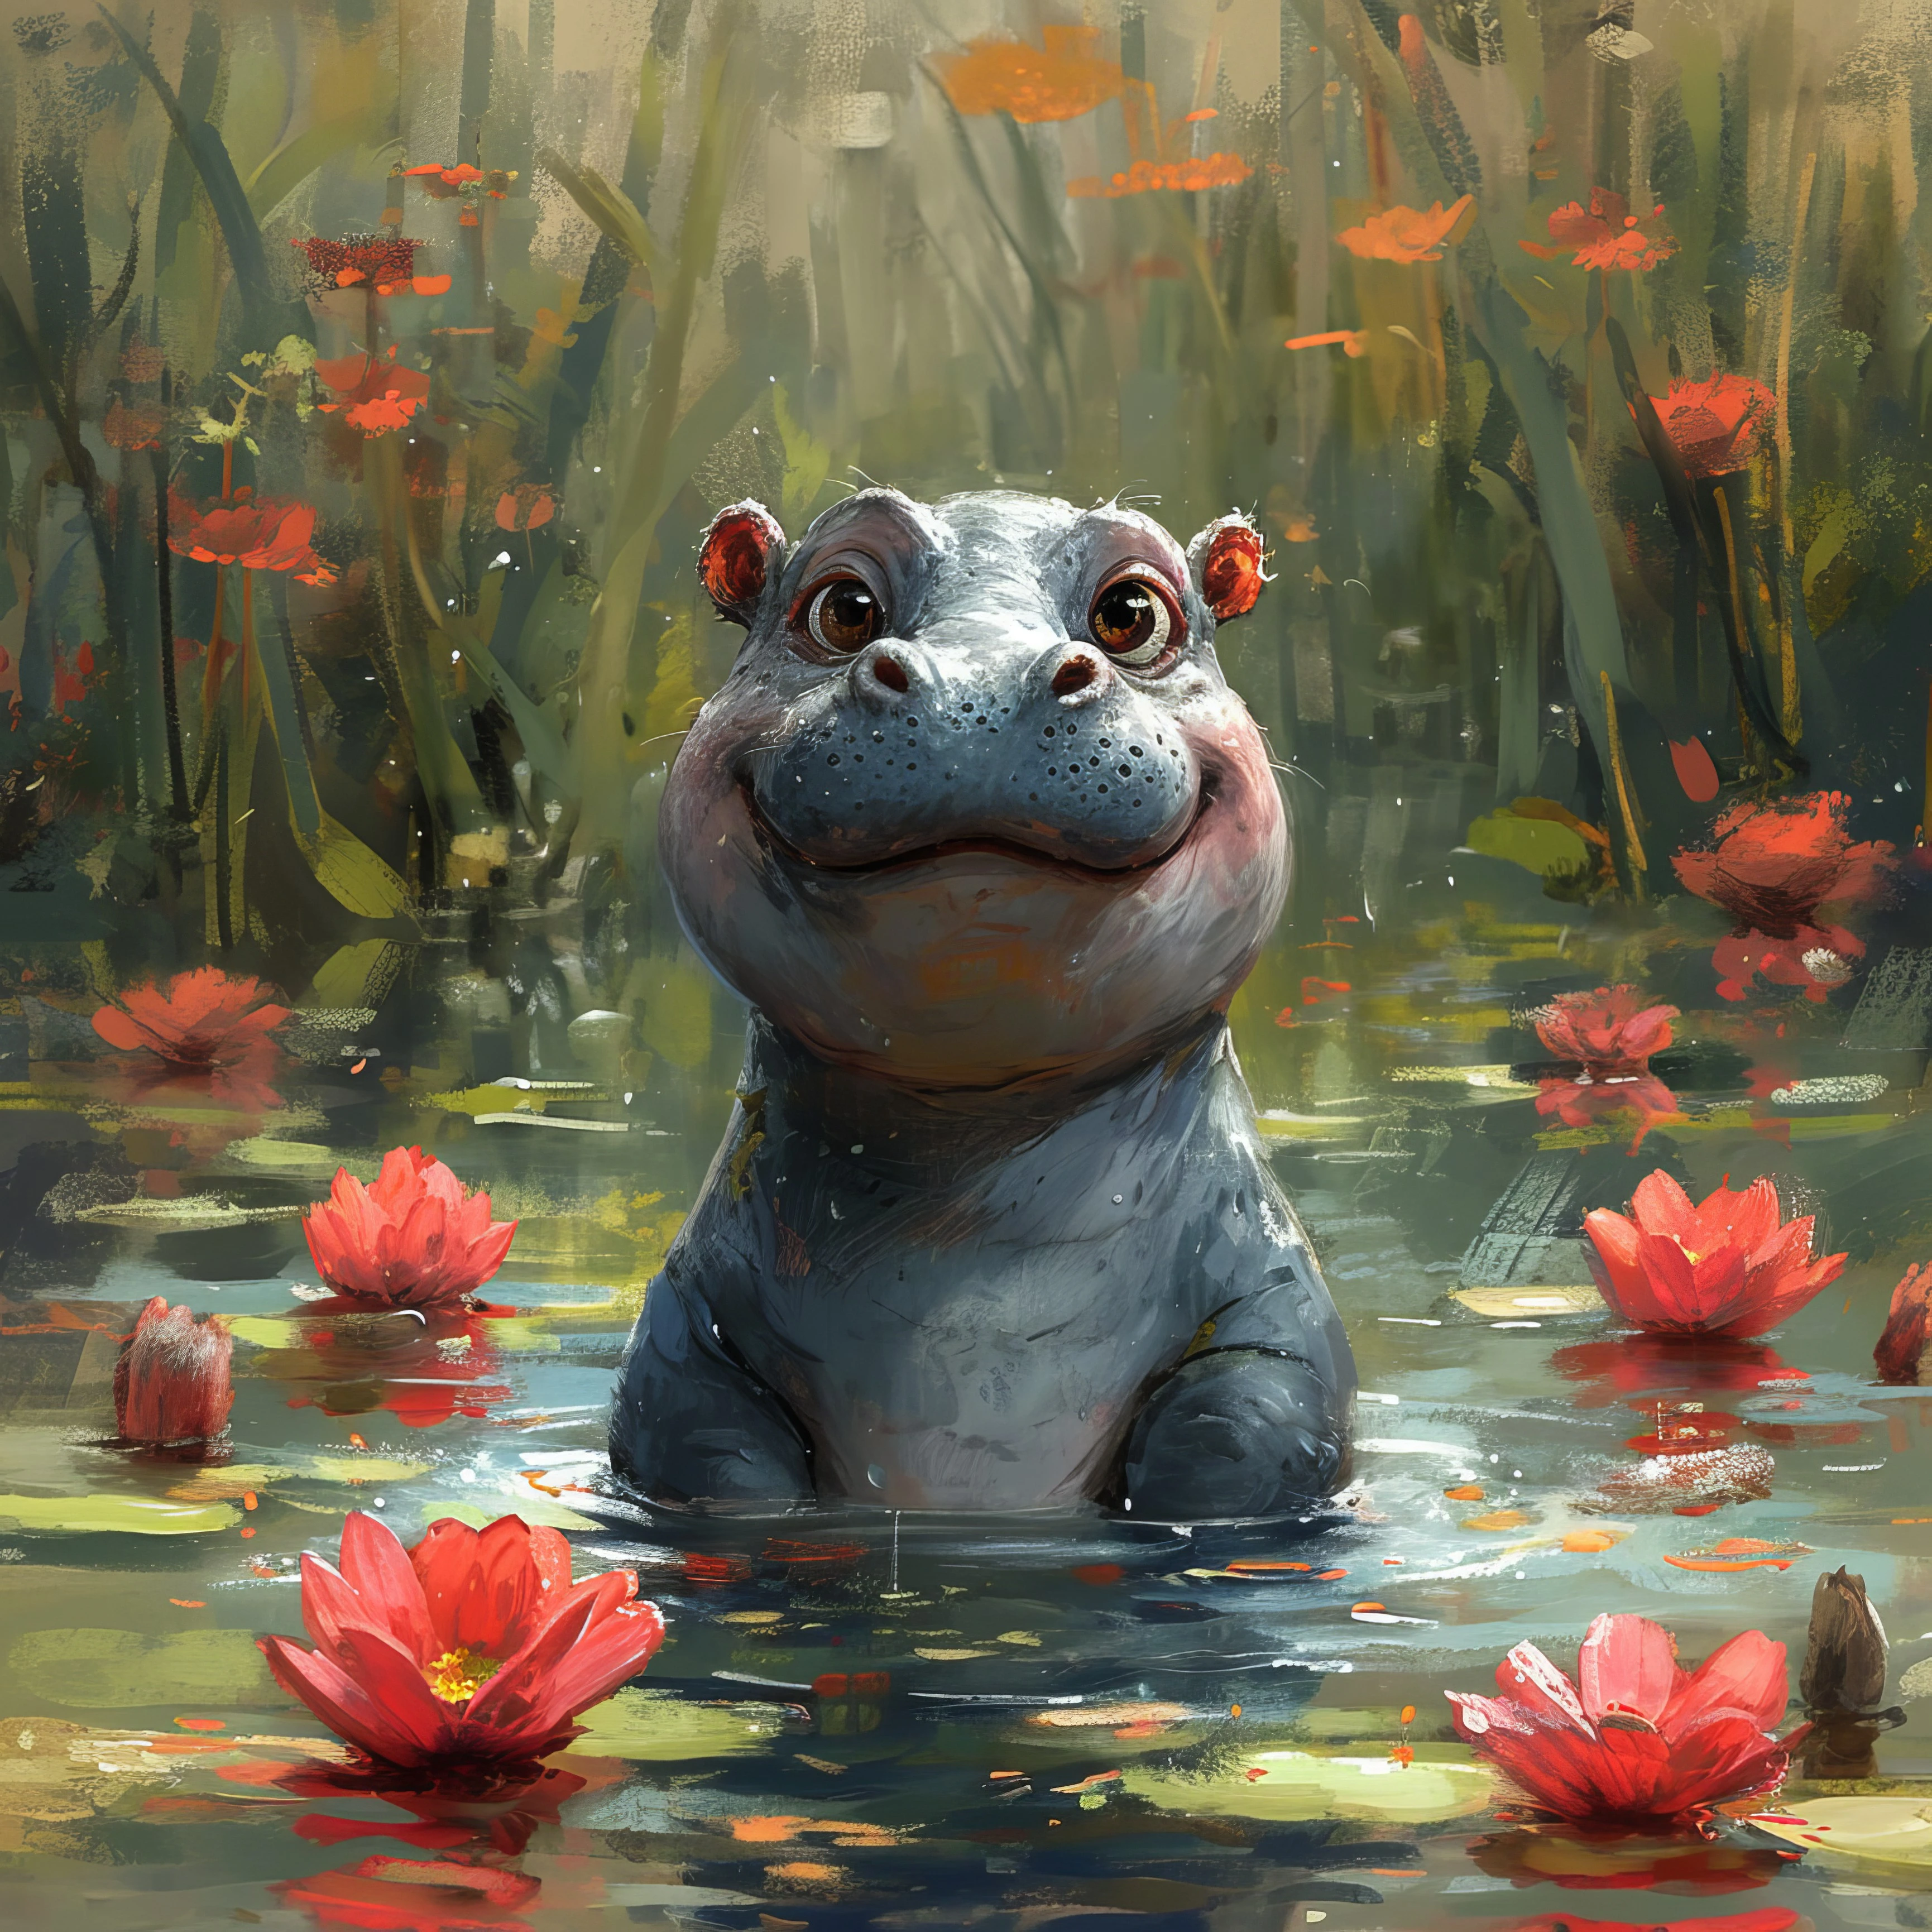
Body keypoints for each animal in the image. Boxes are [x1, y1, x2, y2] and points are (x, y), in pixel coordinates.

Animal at [608, 488, 1356, 1521]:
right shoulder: (686, 1356)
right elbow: (717, 1457)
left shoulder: (1273, 1346)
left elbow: (1238, 1433)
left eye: (1132, 613)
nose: (981, 681)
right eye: (843, 609)